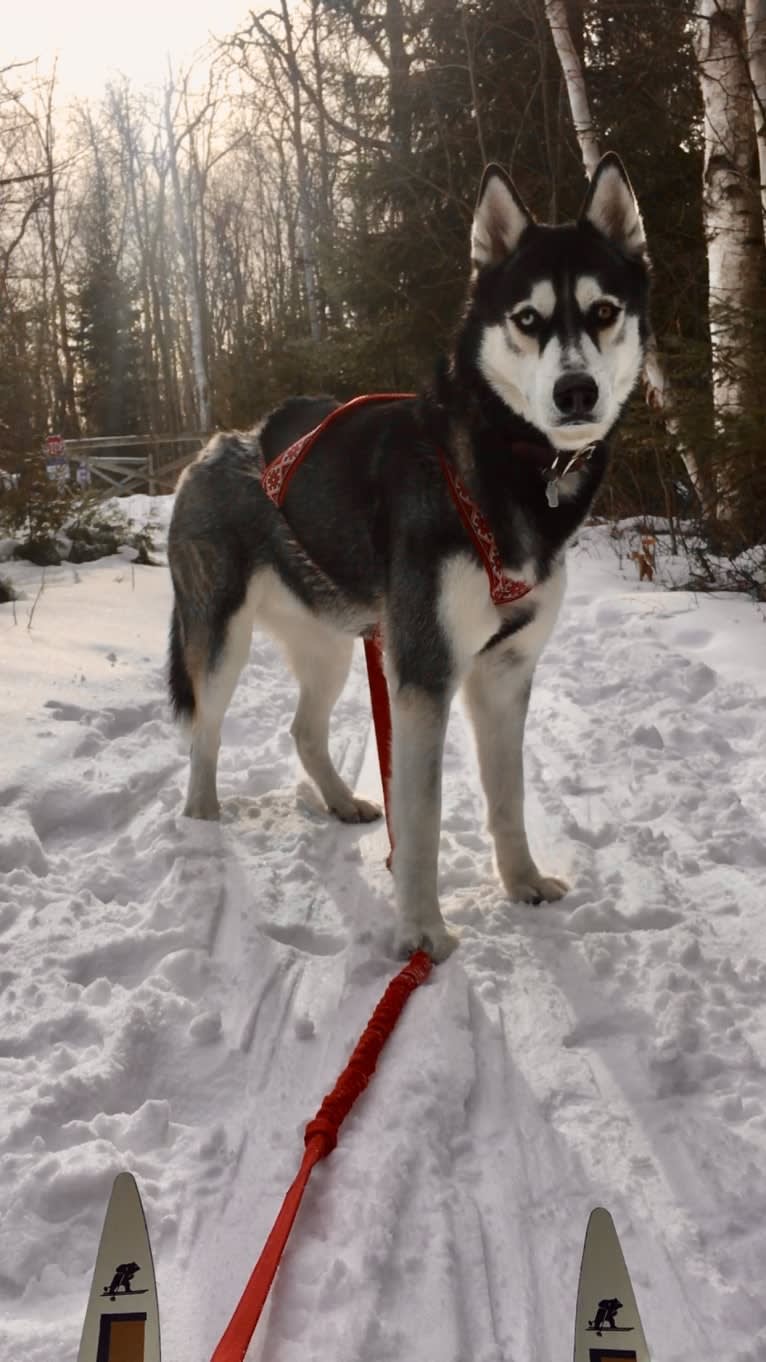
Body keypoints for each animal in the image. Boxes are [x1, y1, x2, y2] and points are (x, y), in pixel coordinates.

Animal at [165, 156, 643, 958]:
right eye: (528, 318)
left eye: (604, 310)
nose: (576, 391)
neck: (503, 465)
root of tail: (211, 448)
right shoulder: (425, 670)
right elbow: (420, 815)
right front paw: (422, 933)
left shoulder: (505, 672)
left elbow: (507, 796)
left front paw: (521, 884)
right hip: (223, 637)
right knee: (205, 730)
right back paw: (203, 820)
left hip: (331, 646)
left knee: (303, 730)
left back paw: (338, 802)